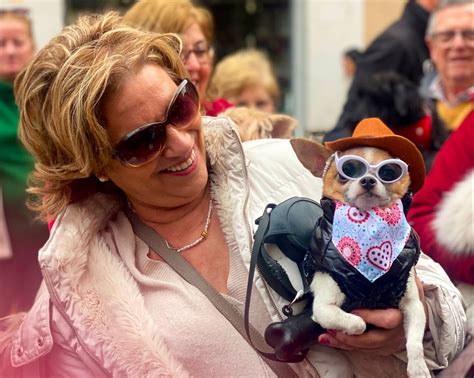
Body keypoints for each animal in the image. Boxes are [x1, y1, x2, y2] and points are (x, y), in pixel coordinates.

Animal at [290, 118, 432, 378]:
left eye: (389, 173)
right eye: (346, 173)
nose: (367, 180)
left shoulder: (413, 304)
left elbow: (415, 341)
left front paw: (418, 368)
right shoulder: (323, 308)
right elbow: (359, 322)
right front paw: (353, 328)